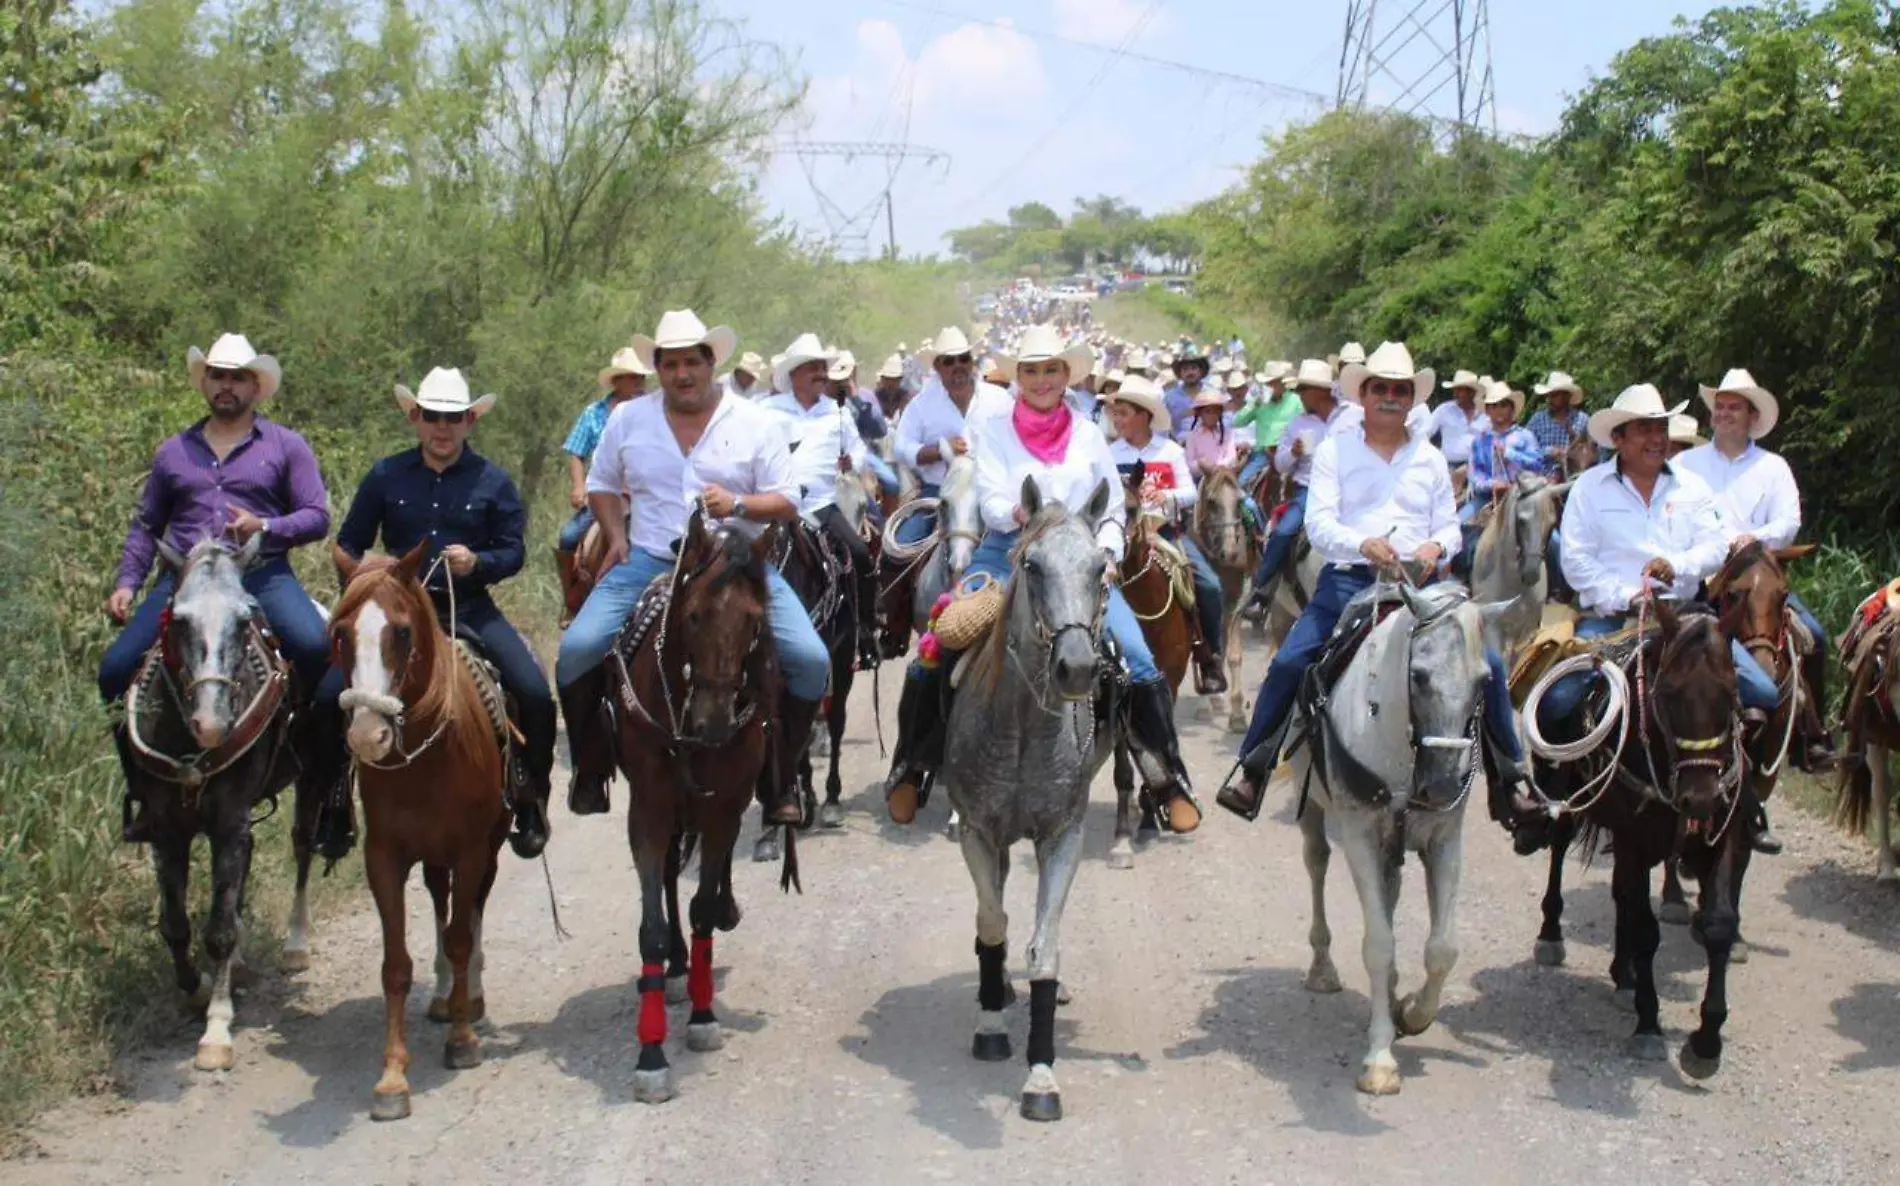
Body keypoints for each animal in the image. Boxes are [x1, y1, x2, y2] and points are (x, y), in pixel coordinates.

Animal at [119, 539, 304, 1071]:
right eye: (178, 620)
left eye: (245, 620)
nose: (212, 724)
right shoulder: (167, 829)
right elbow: (176, 924)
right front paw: (194, 989)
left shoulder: (226, 823)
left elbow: (218, 929)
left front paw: (216, 1028)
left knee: (302, 849)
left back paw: (294, 945)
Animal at [328, 543, 509, 1117]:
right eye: (341, 633)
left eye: (402, 632)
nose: (368, 736)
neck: (428, 755)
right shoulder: (384, 857)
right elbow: (395, 966)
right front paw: (391, 1078)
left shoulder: (472, 849)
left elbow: (461, 936)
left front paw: (462, 1041)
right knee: (438, 898)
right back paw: (444, 995)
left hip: (490, 846)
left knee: (471, 911)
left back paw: (470, 996)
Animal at [611, 505, 782, 1102]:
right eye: (693, 617)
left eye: (753, 622)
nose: (711, 724)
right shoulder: (649, 809)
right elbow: (652, 926)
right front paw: (651, 1054)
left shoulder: (725, 805)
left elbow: (703, 905)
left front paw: (705, 1019)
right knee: (666, 873)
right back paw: (678, 969)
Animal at [946, 475, 1117, 1117]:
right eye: (1033, 565)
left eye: (1100, 566)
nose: (1076, 668)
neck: (1022, 727)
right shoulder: (976, 831)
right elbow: (993, 923)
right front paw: (991, 1025)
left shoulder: (1063, 836)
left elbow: (1046, 947)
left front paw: (1041, 1075)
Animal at [1299, 581, 1504, 1094]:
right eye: (1419, 676)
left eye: (1484, 681)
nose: (1444, 784)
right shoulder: (1359, 837)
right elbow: (1378, 944)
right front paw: (1379, 1059)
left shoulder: (1445, 840)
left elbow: (1442, 948)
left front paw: (1413, 1012)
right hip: (1312, 808)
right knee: (1316, 864)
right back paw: (1322, 970)